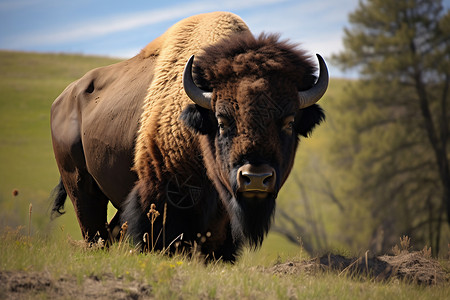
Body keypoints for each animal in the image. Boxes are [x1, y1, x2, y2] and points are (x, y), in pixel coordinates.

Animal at [51, 11, 328, 260]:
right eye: (222, 120)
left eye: (289, 122)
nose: (256, 178)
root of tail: (63, 99)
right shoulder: (161, 195)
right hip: (80, 186)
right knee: (93, 228)